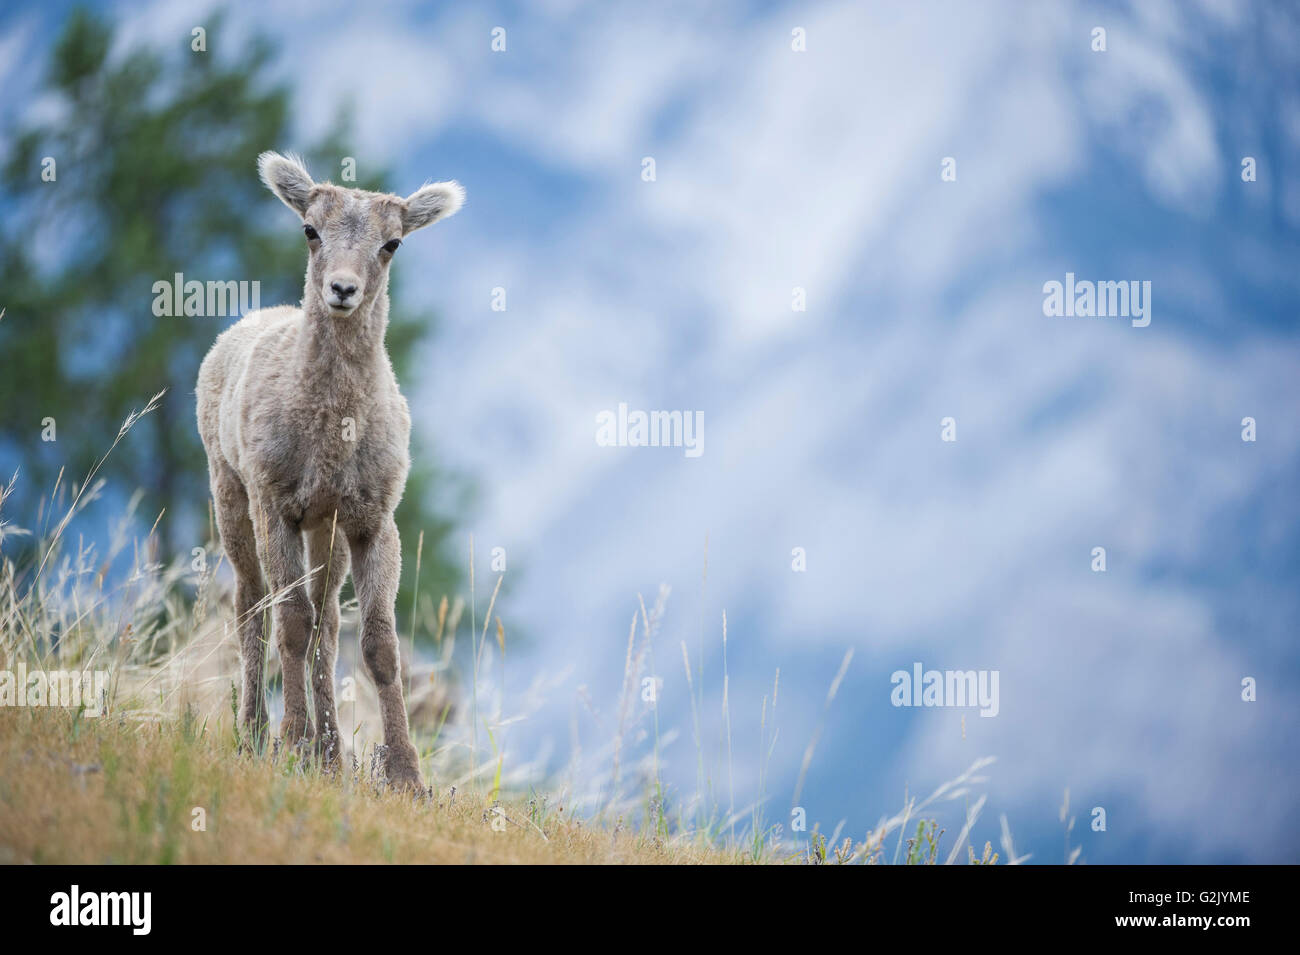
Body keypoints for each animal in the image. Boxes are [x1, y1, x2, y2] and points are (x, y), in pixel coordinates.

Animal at [195, 151, 465, 789]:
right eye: (310, 230)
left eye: (392, 242)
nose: (342, 289)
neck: (331, 436)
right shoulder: (277, 505)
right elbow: (290, 624)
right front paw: (292, 743)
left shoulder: (371, 519)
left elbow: (378, 645)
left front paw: (407, 777)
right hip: (231, 495)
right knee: (252, 607)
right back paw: (256, 735)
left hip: (328, 532)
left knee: (329, 624)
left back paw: (332, 755)